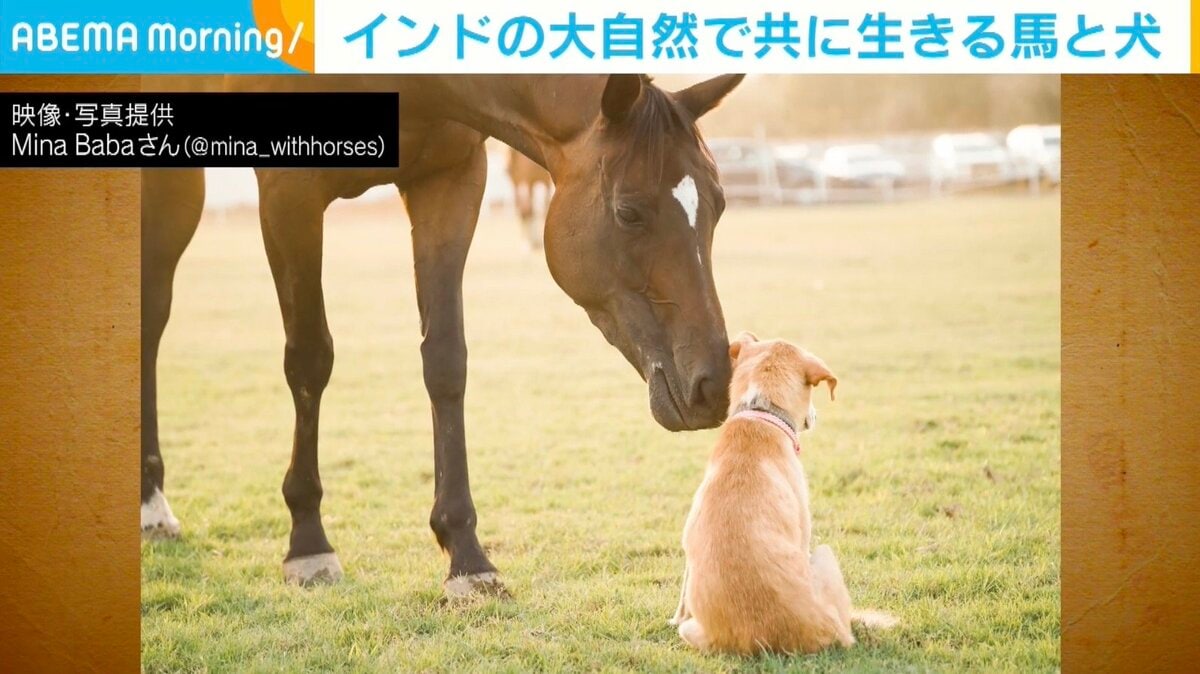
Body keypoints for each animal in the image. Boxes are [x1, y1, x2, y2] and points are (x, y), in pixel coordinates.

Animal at [141, 74, 744, 596]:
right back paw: (151, 501)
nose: (713, 384)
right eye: (628, 212)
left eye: (719, 205)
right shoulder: (289, 191)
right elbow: (309, 358)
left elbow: (446, 360)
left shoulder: (450, 180)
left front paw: (466, 555)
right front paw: (308, 542)